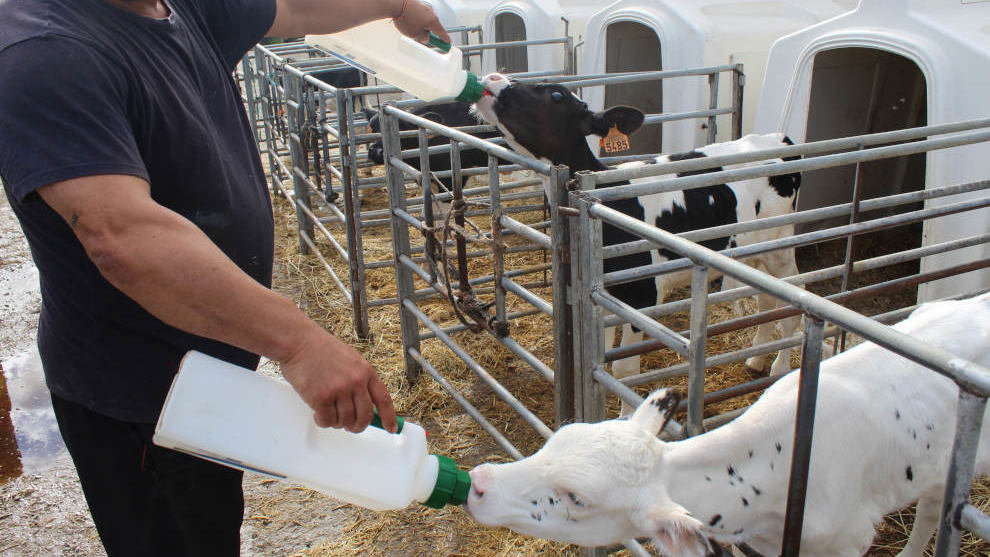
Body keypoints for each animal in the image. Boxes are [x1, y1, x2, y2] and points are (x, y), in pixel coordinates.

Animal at [476, 73, 808, 390]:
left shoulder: (642, 295)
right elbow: (601, 356)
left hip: (782, 244)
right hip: (755, 250)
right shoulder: (601, 296)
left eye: (557, 95)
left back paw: (779, 367)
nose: (493, 77)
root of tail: (780, 138)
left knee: (793, 300)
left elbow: (623, 370)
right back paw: (756, 360)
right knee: (766, 302)